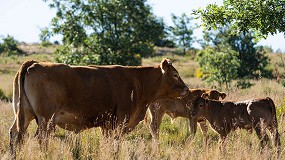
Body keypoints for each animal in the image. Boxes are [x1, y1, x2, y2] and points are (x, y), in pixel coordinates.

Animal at [9, 58, 189, 155]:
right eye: (175, 75)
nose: (186, 89)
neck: (138, 82)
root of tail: (35, 63)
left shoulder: (107, 124)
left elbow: (107, 143)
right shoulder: (120, 120)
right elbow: (115, 144)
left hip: (24, 114)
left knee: (16, 134)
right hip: (46, 119)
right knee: (42, 138)